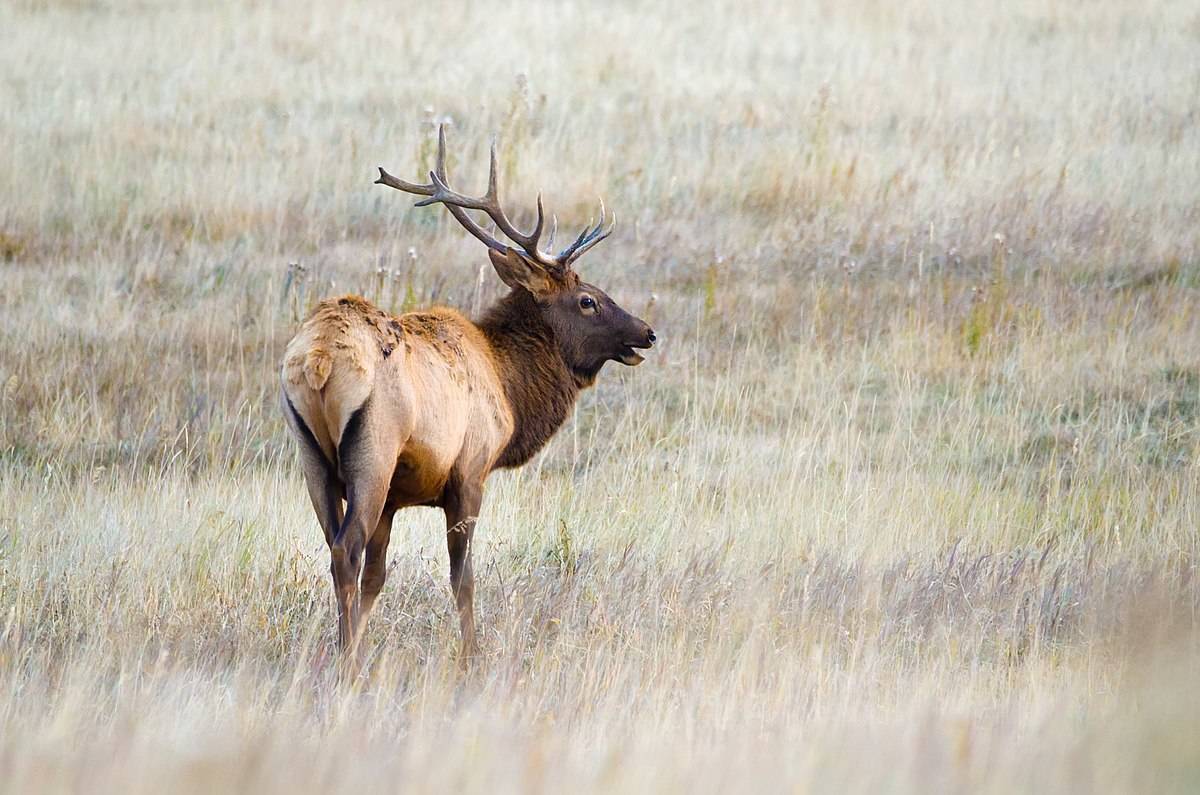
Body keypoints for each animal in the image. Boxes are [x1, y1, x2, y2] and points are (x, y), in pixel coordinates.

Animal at [280, 124, 657, 658]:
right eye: (588, 301)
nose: (647, 333)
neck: (509, 386)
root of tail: (319, 358)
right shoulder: (469, 472)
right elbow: (463, 578)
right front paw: (471, 655)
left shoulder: (395, 498)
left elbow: (378, 578)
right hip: (374, 451)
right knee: (346, 549)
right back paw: (349, 662)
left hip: (311, 455)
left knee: (336, 550)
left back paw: (344, 650)